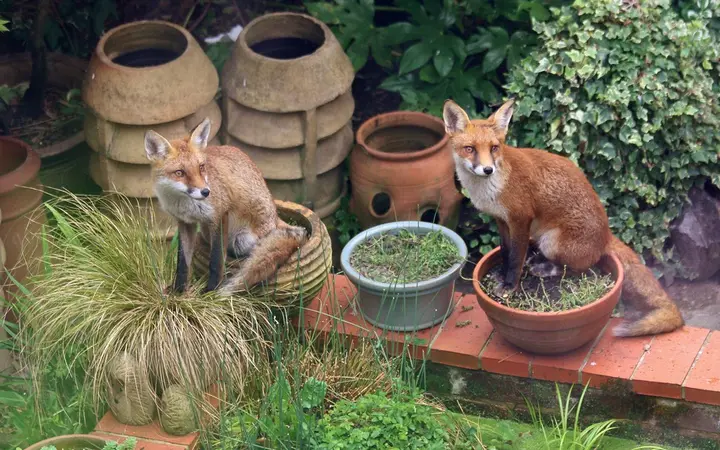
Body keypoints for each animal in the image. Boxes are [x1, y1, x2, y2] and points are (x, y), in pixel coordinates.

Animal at [144, 118, 307, 296]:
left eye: (201, 167)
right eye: (180, 173)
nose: (206, 192)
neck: (183, 203)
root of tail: (276, 217)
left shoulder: (220, 215)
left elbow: (216, 261)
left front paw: (211, 291)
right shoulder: (185, 223)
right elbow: (182, 262)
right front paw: (178, 291)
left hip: (241, 240)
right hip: (206, 231)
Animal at [443, 99, 684, 337]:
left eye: (494, 148)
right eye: (470, 149)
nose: (487, 169)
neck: (492, 188)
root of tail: (607, 235)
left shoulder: (521, 219)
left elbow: (516, 257)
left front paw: (510, 285)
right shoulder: (501, 220)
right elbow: (505, 251)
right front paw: (501, 274)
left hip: (552, 242)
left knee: (582, 269)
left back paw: (545, 268)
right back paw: (538, 262)